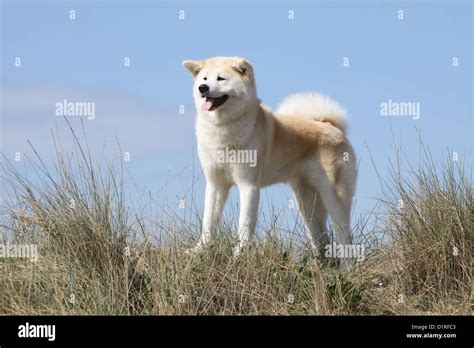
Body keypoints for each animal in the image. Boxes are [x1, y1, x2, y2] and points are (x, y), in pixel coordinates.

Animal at [181, 56, 356, 264]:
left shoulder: (248, 185)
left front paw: (239, 255)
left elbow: (244, 225)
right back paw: (319, 264)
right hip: (307, 203)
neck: (223, 128)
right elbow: (209, 222)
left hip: (335, 197)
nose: (203, 88)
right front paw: (199, 250)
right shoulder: (216, 184)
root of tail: (332, 126)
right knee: (321, 237)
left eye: (221, 78)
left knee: (344, 236)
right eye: (205, 78)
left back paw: (347, 266)